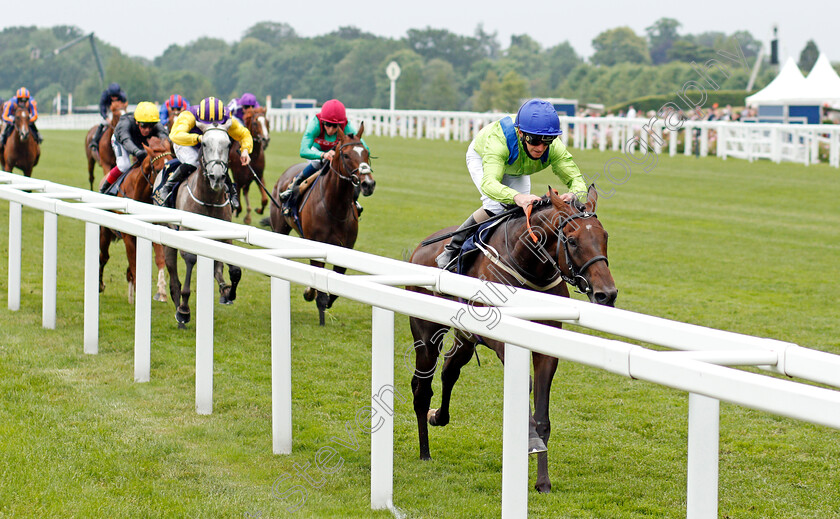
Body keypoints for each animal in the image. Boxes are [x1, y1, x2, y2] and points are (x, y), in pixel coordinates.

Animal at [97, 137, 171, 304]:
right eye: (158, 170)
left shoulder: (152, 230)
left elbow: (160, 259)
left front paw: (161, 290)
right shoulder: (127, 236)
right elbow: (134, 262)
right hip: (104, 233)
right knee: (103, 257)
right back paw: (100, 284)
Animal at [164, 126, 241, 330]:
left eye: (228, 144)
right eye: (204, 143)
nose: (217, 177)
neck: (209, 199)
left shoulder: (224, 235)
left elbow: (235, 269)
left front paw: (230, 292)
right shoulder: (186, 236)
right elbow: (190, 261)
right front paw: (183, 311)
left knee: (217, 268)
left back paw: (224, 290)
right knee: (173, 277)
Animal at [268, 123, 376, 324]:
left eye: (366, 153)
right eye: (346, 155)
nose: (368, 184)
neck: (335, 207)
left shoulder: (346, 247)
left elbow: (335, 285)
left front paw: (323, 301)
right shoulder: (317, 244)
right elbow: (316, 275)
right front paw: (311, 294)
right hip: (280, 227)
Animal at [406, 185, 616, 494]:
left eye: (604, 237)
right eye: (572, 240)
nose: (606, 294)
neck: (529, 268)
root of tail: (420, 248)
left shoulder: (546, 347)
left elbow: (543, 416)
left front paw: (543, 481)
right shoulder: (500, 338)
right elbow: (524, 385)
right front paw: (531, 442)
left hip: (465, 338)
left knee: (449, 370)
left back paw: (438, 416)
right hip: (427, 333)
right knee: (422, 389)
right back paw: (424, 452)